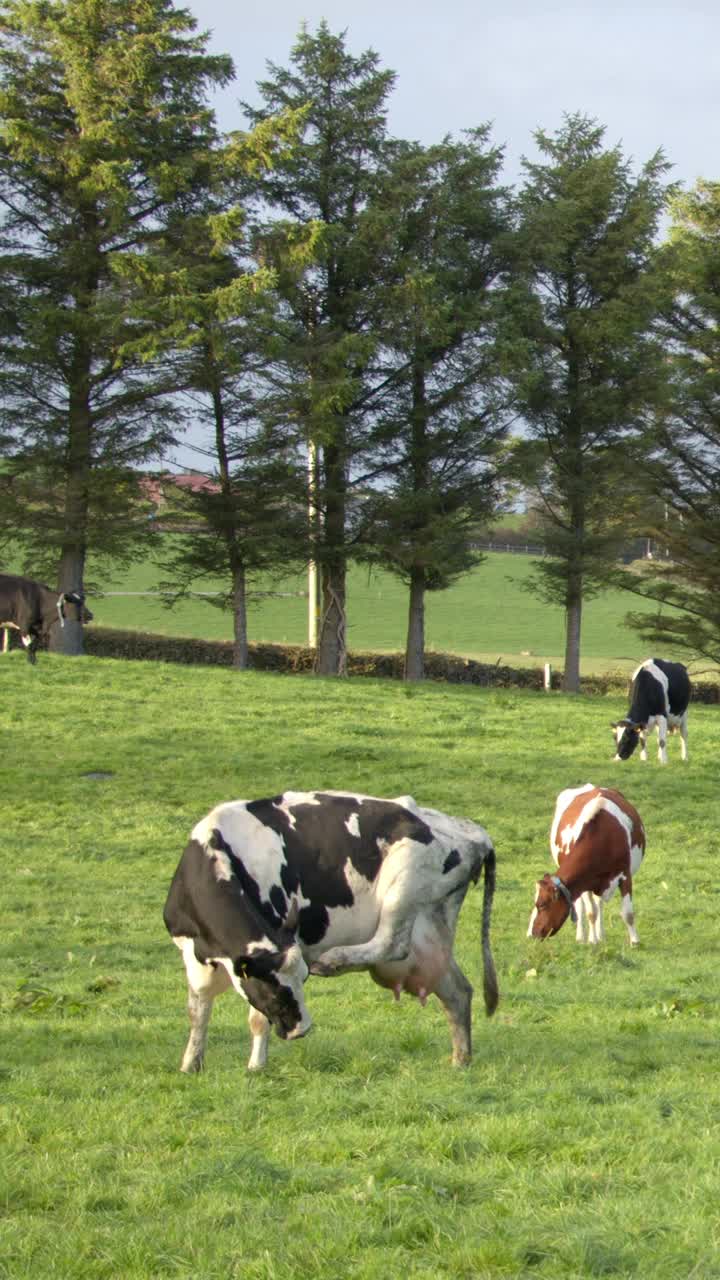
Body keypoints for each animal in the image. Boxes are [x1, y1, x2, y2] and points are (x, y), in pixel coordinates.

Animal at [163, 788, 497, 1070]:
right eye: (273, 989)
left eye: (302, 980)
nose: (301, 1029)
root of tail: (471, 832)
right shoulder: (192, 953)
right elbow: (197, 1010)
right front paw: (191, 1064)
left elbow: (256, 1019)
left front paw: (256, 1067)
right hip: (431, 927)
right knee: (458, 991)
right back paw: (460, 1060)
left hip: (404, 882)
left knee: (392, 943)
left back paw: (333, 961)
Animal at [520, 783, 645, 947]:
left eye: (541, 905)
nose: (530, 934)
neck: (604, 838)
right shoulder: (584, 883)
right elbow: (591, 912)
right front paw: (592, 941)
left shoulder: (625, 875)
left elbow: (628, 912)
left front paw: (635, 942)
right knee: (581, 907)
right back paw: (582, 936)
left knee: (599, 903)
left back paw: (601, 934)